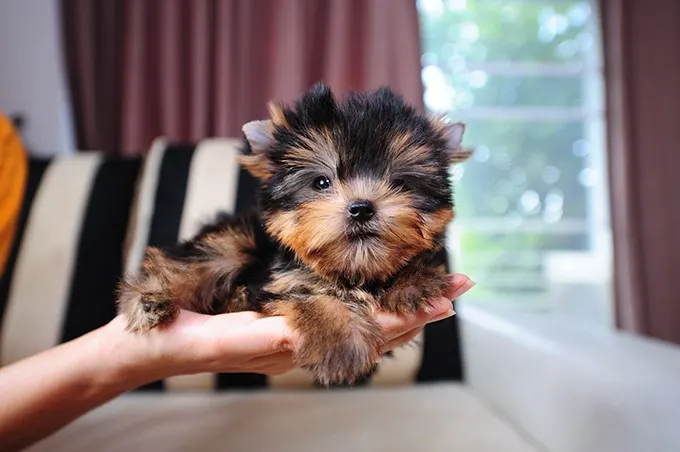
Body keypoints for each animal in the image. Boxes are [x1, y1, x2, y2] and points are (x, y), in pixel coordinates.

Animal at [117, 84, 470, 384]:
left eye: (400, 183)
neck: (353, 270)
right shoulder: (280, 281)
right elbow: (311, 298)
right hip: (232, 242)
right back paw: (148, 300)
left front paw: (414, 281)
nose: (361, 208)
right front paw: (343, 342)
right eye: (322, 182)